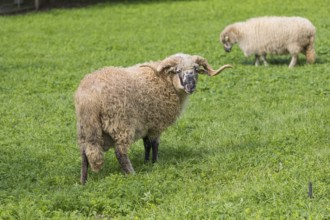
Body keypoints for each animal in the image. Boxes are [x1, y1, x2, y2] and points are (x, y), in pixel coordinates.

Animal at [74, 53, 232, 184]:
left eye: (195, 69)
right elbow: (155, 145)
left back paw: (83, 181)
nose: (190, 86)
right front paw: (155, 163)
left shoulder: (146, 124)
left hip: (85, 127)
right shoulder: (156, 124)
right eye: (177, 70)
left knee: (84, 153)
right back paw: (131, 174)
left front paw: (146, 162)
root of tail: (90, 98)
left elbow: (147, 144)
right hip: (120, 123)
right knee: (120, 152)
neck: (166, 82)